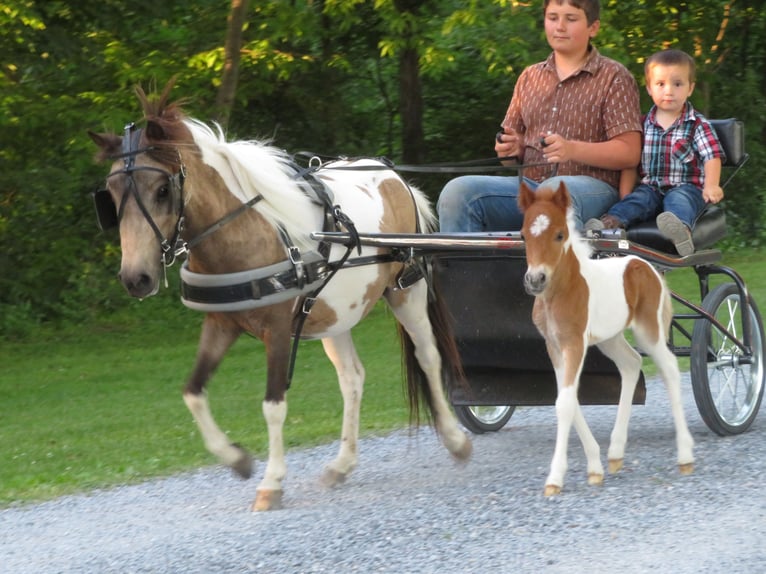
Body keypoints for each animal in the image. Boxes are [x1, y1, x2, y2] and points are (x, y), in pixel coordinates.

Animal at [88, 81, 471, 511]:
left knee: (428, 356)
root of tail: (390, 175)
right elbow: (193, 393)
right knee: (352, 377)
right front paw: (237, 459)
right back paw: (342, 463)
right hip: (334, 312)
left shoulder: (277, 328)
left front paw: (271, 482)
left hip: (407, 291)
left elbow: (273, 405)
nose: (135, 278)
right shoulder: (220, 323)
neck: (246, 233)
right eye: (110, 195)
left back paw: (455, 440)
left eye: (161, 190)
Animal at [518, 181, 694, 496]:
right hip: (609, 339)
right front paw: (594, 467)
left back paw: (685, 456)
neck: (562, 290)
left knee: (670, 368)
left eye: (559, 234)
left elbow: (565, 403)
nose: (535, 280)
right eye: (523, 235)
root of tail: (648, 266)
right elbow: (567, 398)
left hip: (648, 331)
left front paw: (555, 478)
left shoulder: (575, 343)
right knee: (631, 364)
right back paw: (615, 453)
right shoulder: (554, 346)